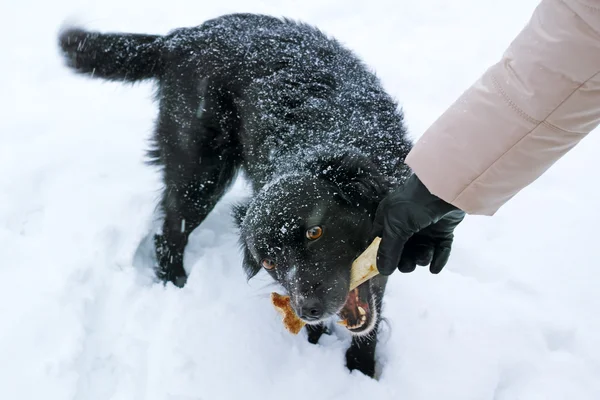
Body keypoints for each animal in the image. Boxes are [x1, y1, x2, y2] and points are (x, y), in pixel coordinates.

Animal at [58, 11, 414, 376]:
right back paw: (175, 282)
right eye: (269, 262)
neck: (325, 139)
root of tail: (181, 38)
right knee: (170, 233)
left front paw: (361, 368)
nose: (308, 310)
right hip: (199, 176)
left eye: (315, 232)